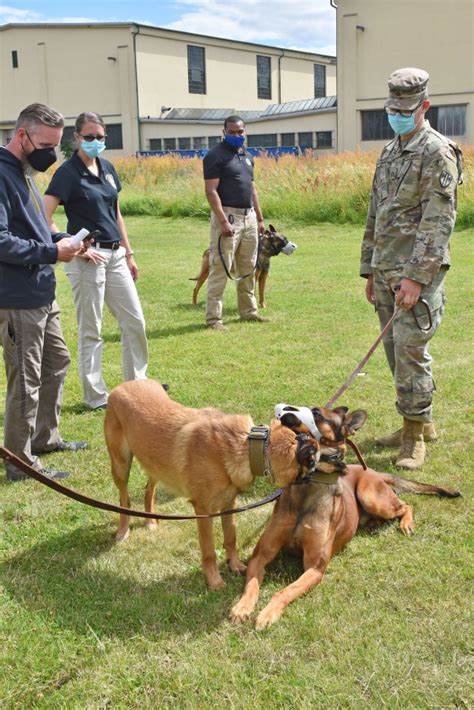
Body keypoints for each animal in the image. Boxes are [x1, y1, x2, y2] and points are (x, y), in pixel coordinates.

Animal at [231, 404, 462, 632]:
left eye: (316, 413)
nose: (284, 413)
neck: (309, 485)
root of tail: (373, 471)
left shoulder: (315, 568)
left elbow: (285, 591)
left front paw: (268, 613)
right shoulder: (260, 555)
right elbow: (251, 583)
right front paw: (242, 607)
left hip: (371, 496)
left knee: (405, 505)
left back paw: (405, 524)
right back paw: (374, 525)